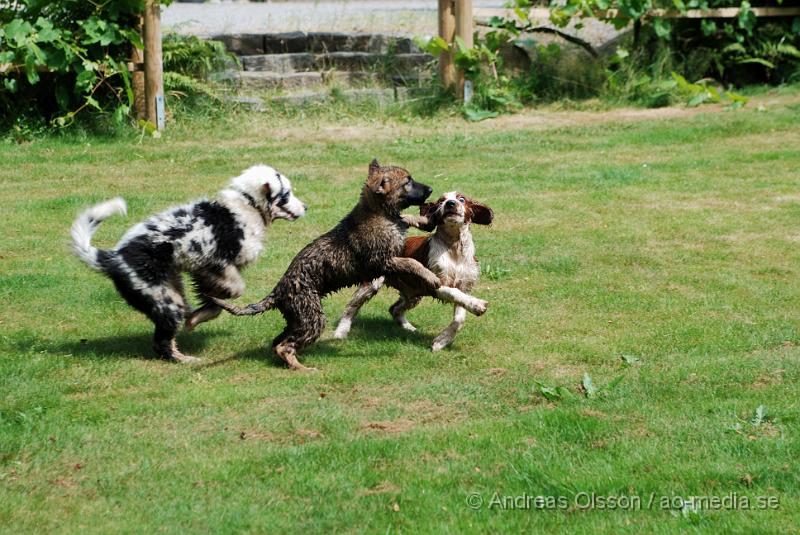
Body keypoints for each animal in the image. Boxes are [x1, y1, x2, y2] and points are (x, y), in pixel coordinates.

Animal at [72, 164, 306, 364]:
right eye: (286, 195)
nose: (305, 206)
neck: (248, 204)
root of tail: (113, 257)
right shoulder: (217, 262)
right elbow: (236, 289)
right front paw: (201, 315)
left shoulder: (203, 269)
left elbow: (214, 300)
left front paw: (197, 316)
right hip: (166, 299)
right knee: (162, 343)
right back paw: (185, 359)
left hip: (172, 286)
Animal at [212, 160, 488, 372]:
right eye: (408, 182)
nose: (431, 189)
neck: (381, 214)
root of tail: (278, 291)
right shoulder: (383, 260)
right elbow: (411, 262)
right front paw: (430, 275)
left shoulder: (395, 238)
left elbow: (408, 219)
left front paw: (426, 219)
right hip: (311, 317)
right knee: (284, 346)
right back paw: (303, 368)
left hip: (296, 319)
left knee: (278, 341)